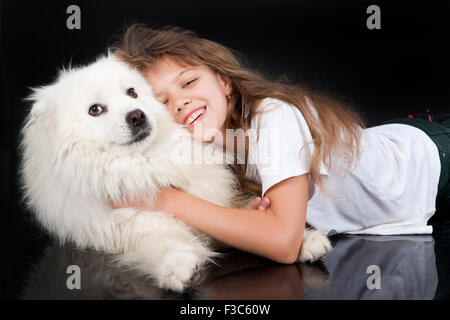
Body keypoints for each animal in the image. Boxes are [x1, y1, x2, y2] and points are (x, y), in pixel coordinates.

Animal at [19, 54, 330, 292]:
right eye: (95, 110)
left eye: (131, 92)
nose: (137, 115)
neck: (147, 164)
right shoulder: (130, 228)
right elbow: (161, 241)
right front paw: (179, 266)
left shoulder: (218, 198)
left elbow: (248, 216)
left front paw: (306, 239)